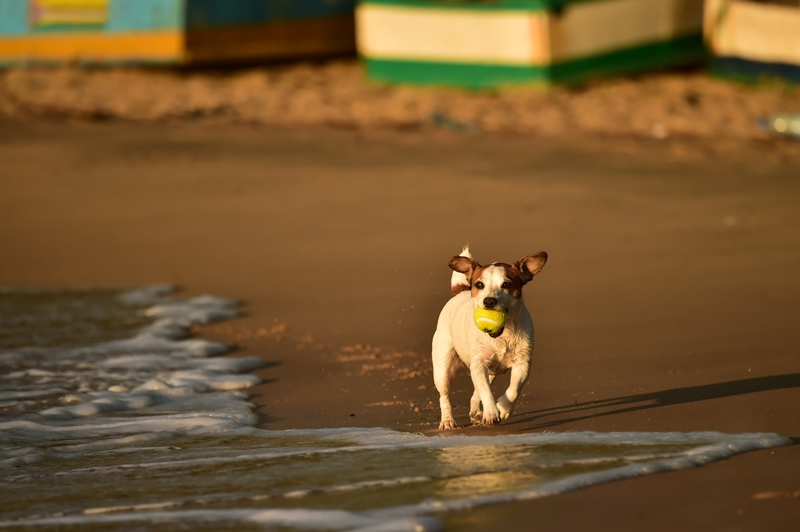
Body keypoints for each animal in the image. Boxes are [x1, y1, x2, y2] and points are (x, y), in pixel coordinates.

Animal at [432, 247, 552, 430]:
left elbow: (513, 390)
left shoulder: (522, 363)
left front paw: (502, 408)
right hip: (443, 368)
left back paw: (476, 413)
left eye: (506, 284)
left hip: (490, 372)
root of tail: (460, 292)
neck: (502, 336)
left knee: (476, 392)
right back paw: (447, 421)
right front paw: (491, 413)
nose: (489, 301)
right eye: (479, 285)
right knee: (445, 395)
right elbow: (486, 392)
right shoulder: (479, 363)